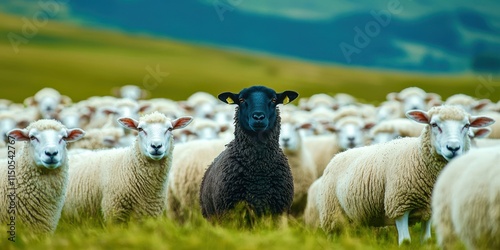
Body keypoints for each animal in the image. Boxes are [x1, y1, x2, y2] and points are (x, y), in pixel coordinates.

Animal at [316, 105, 492, 244]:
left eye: (467, 125)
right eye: (434, 124)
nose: (453, 148)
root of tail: (339, 154)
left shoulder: (429, 208)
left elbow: (427, 240)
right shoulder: (399, 205)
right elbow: (406, 241)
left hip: (357, 216)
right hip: (331, 214)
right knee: (332, 234)